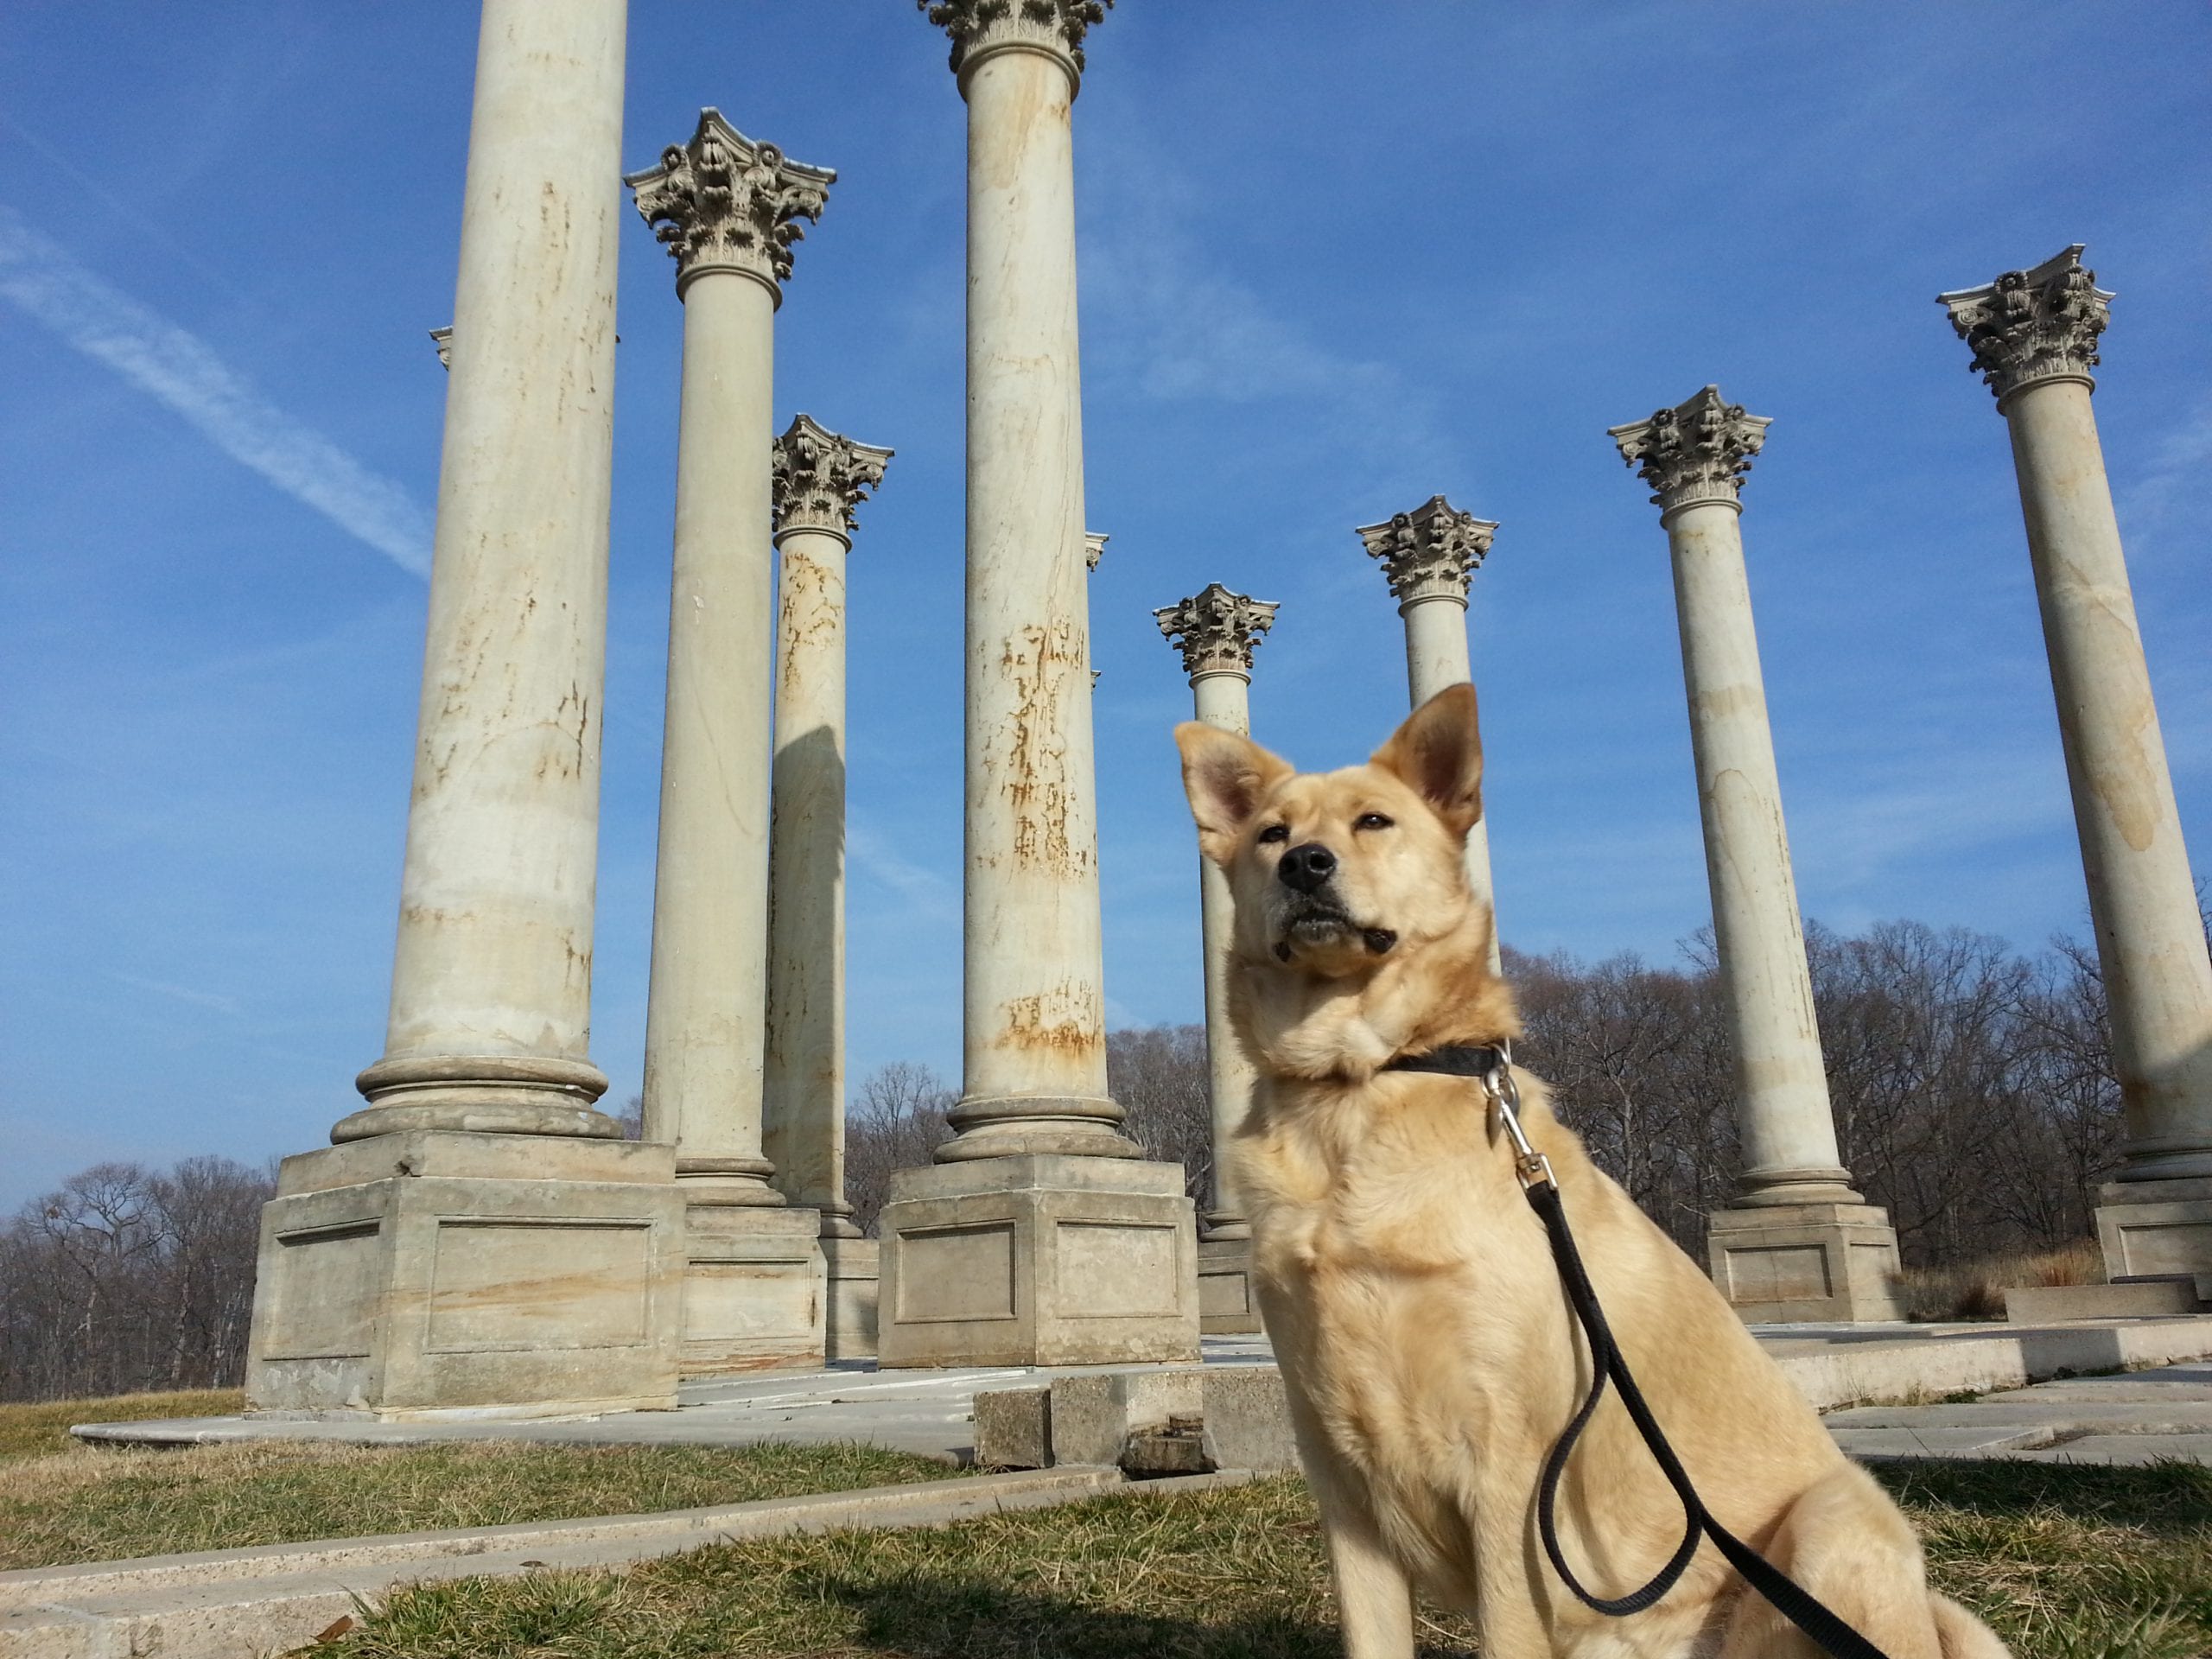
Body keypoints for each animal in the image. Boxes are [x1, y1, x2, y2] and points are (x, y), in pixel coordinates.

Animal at [1176, 681, 2008, 1654]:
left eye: (1373, 820)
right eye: (1271, 833)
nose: (1306, 866)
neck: (1357, 1086)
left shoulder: (1507, 1466)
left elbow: (1505, 1630)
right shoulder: (1338, 1470)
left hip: (1839, 1518)